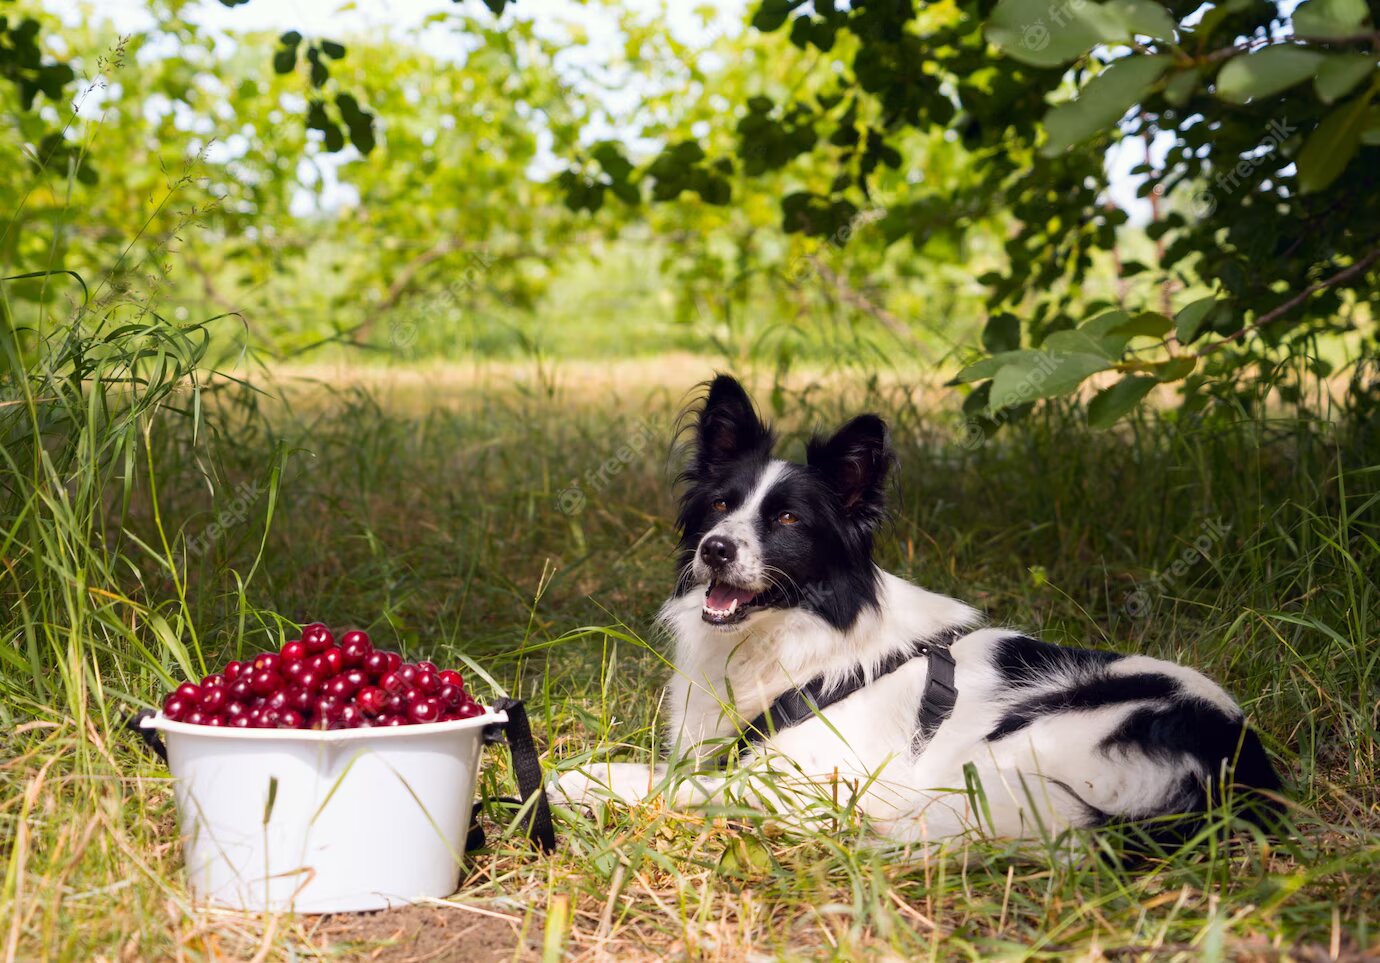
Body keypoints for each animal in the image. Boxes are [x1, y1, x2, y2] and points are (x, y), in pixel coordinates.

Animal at [552, 375, 1280, 838]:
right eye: (721, 505)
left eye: (787, 518)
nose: (716, 549)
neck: (794, 635)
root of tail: (1237, 770)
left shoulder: (807, 781)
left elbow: (666, 784)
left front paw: (571, 783)